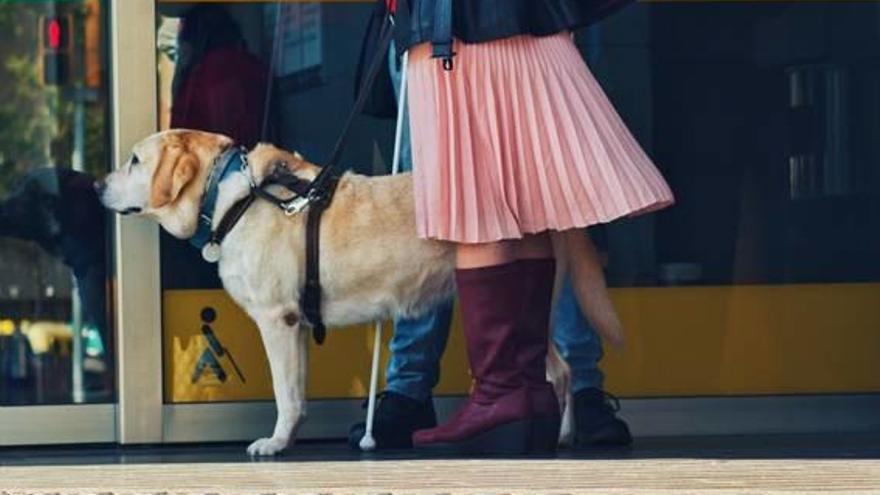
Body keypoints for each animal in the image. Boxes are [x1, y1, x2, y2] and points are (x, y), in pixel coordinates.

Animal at [98, 130, 576, 456]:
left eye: (135, 160)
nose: (96, 185)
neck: (229, 196)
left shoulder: (277, 319)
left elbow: (284, 391)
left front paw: (275, 442)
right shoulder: (297, 326)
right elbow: (297, 392)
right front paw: (288, 438)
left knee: (555, 373)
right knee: (562, 369)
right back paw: (563, 435)